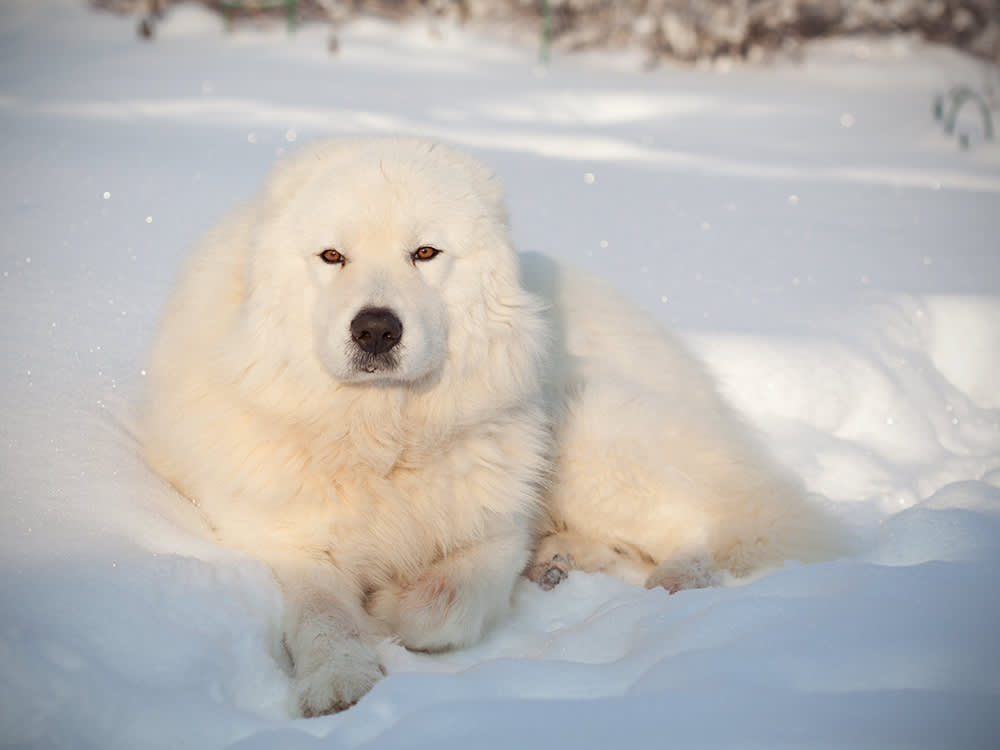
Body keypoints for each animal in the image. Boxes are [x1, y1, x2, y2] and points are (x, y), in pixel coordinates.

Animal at [141, 138, 840, 720]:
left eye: (425, 253)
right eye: (331, 256)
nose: (375, 329)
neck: (383, 436)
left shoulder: (494, 532)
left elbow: (443, 604)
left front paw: (389, 607)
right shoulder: (288, 544)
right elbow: (322, 615)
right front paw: (339, 679)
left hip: (590, 433)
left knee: (702, 527)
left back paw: (671, 578)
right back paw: (561, 561)